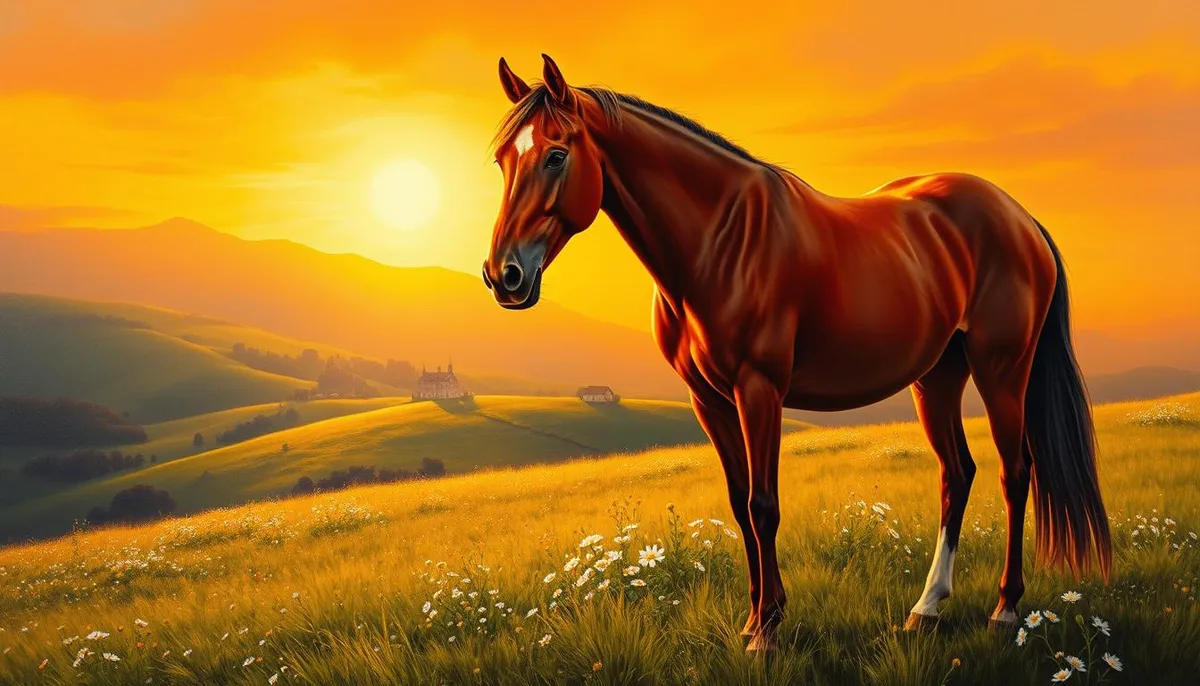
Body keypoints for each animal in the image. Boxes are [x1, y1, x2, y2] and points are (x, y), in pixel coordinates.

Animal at [481, 54, 1112, 652]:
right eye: (503, 161)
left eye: (556, 155)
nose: (504, 275)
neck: (719, 240)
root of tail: (1019, 217)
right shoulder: (708, 400)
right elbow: (740, 506)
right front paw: (752, 619)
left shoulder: (759, 390)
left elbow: (764, 505)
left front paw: (767, 629)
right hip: (936, 378)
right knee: (957, 474)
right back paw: (925, 609)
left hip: (1002, 370)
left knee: (1015, 472)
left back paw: (1004, 609)